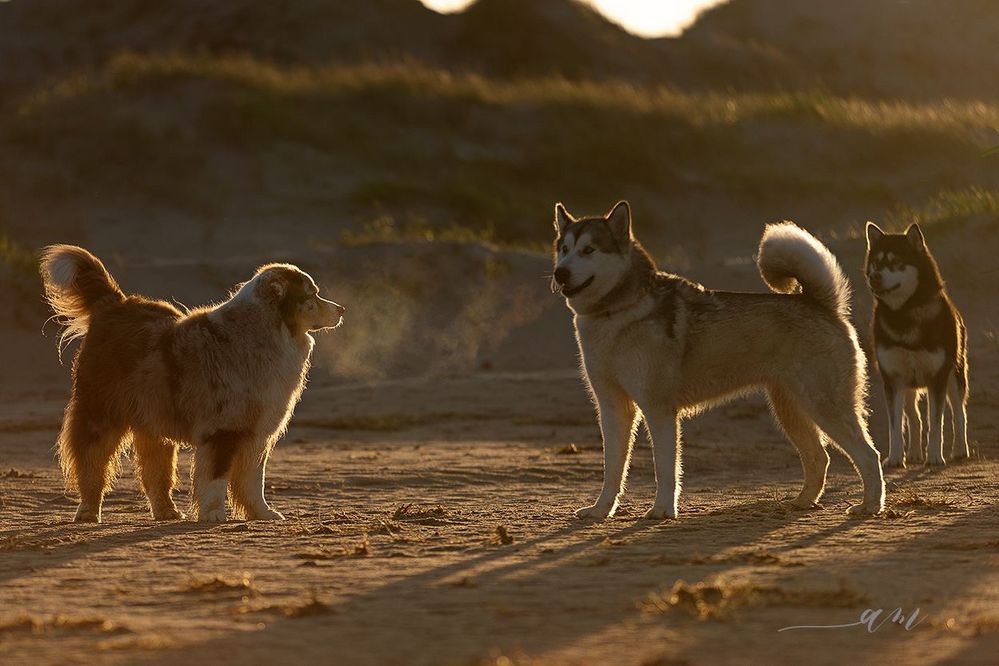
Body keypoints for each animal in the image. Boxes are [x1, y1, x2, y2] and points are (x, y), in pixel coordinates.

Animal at [41, 244, 346, 520]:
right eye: (312, 294)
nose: (341, 309)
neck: (261, 330)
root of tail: (113, 303)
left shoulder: (257, 434)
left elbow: (252, 481)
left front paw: (262, 513)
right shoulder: (224, 430)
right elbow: (216, 478)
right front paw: (214, 515)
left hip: (152, 421)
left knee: (155, 472)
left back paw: (167, 512)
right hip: (101, 413)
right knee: (92, 462)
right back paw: (88, 510)